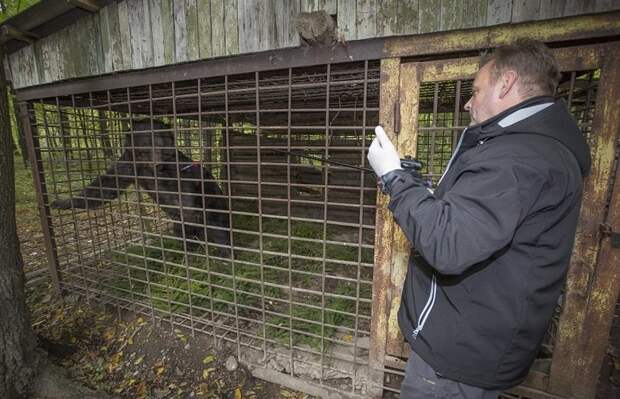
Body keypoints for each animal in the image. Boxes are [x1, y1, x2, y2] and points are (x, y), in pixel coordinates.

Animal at [50, 119, 230, 256]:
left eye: (161, 146)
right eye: (146, 148)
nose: (157, 164)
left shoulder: (176, 167)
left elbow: (186, 185)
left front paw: (188, 208)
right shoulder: (129, 165)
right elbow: (105, 186)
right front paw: (61, 202)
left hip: (214, 207)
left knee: (217, 229)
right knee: (184, 234)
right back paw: (192, 252)